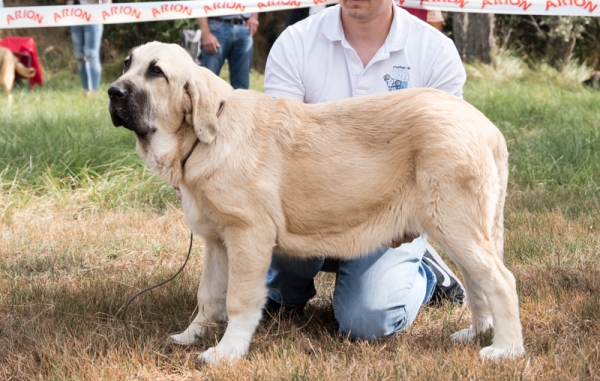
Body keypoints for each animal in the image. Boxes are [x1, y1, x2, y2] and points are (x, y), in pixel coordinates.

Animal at [108, 41, 524, 362]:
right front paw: (190, 336)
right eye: (128, 64)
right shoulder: (217, 242)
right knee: (477, 280)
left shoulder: (248, 236)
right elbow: (208, 296)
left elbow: (238, 300)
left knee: (500, 280)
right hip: (462, 228)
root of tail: (487, 128)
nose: (113, 92)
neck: (201, 137)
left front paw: (227, 352)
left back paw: (505, 349)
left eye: (156, 72)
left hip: (456, 223)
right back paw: (475, 333)